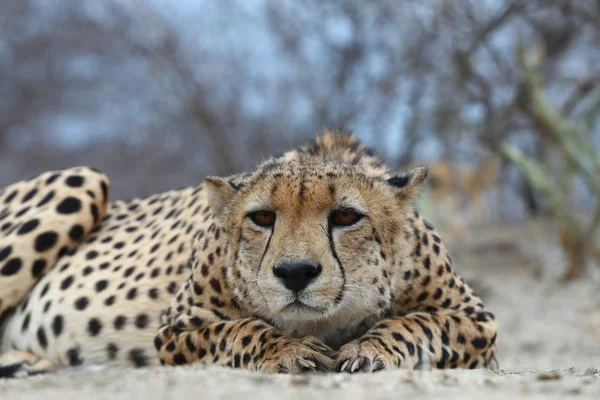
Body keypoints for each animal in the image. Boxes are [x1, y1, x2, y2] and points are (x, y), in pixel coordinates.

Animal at [0, 130, 496, 376]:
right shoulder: (177, 327)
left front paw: (370, 348)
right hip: (85, 178)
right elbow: (238, 329)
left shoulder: (477, 323)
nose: (295, 272)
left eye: (345, 216)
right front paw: (287, 350)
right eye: (261, 217)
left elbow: (417, 323)